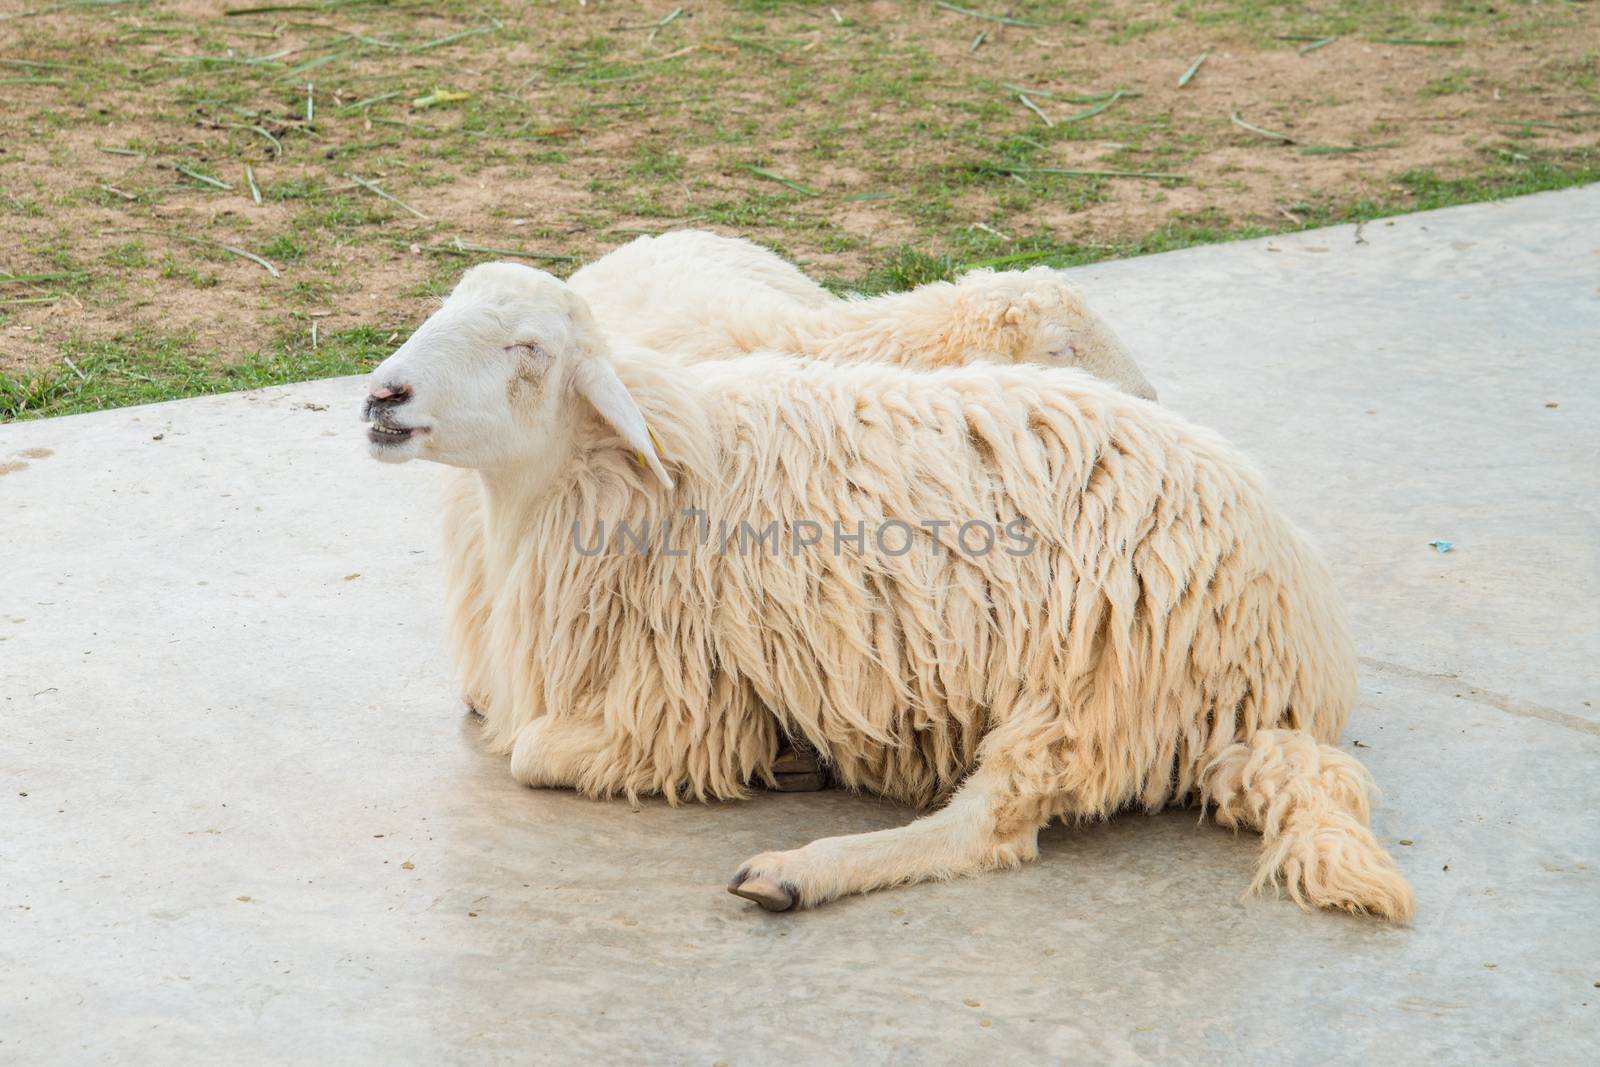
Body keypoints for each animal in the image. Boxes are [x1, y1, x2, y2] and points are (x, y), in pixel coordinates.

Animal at [363, 262, 1414, 921]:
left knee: (988, 832)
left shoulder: (674, 705)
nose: (382, 396)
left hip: (1089, 690)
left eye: (528, 347)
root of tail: (1291, 674)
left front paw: (772, 765)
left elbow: (533, 753)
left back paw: (794, 872)